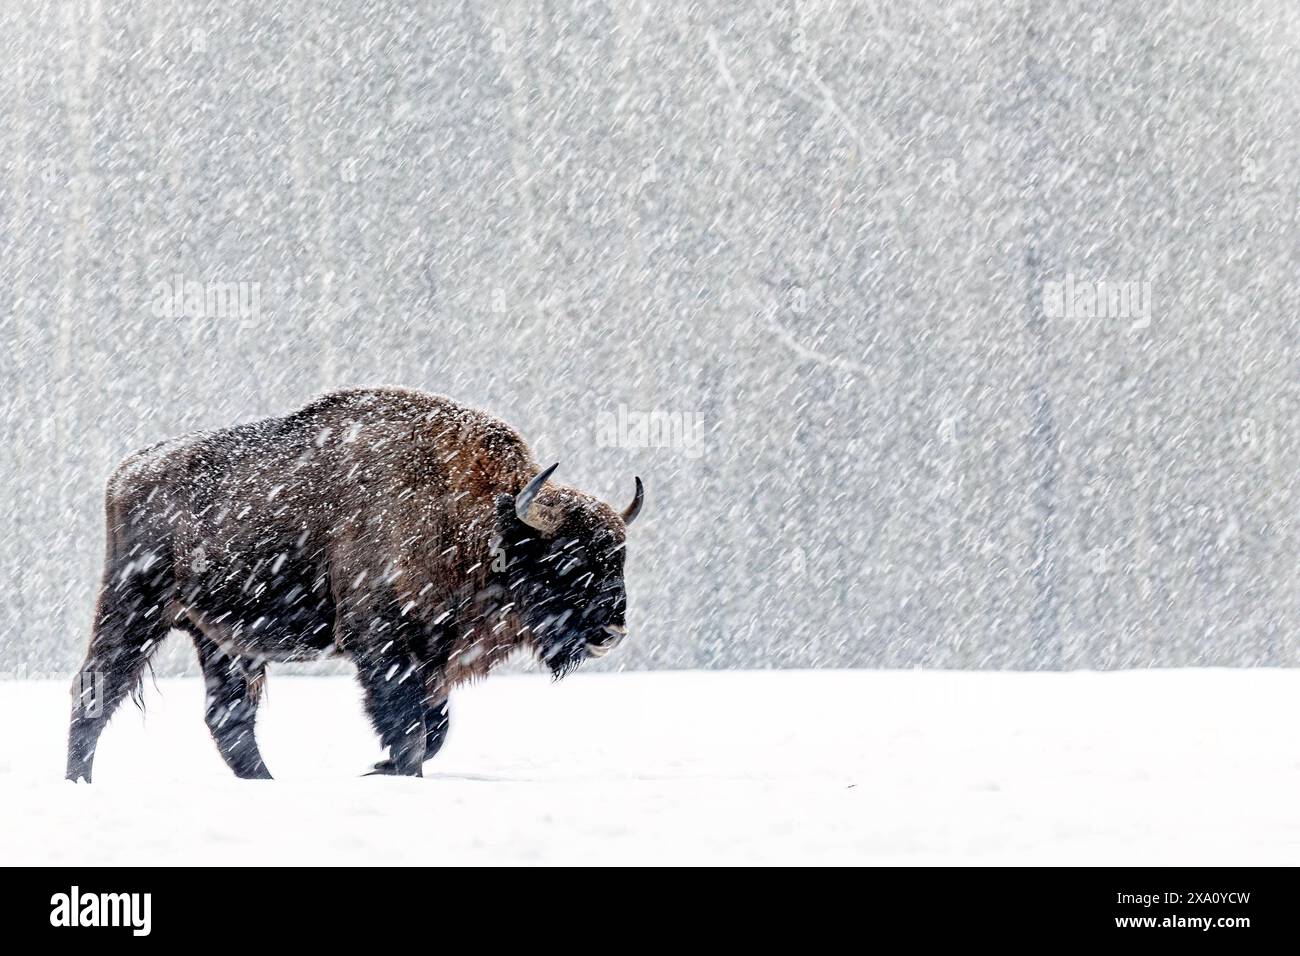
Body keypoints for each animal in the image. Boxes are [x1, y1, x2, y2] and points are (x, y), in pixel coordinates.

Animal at [66, 386, 642, 780]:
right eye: (567, 559)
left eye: (618, 558)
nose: (611, 630)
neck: (473, 519)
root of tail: (128, 471)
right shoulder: (383, 644)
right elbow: (408, 727)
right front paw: (392, 769)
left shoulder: (434, 658)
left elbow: (434, 727)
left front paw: (381, 767)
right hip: (134, 609)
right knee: (96, 689)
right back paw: (79, 781)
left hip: (224, 639)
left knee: (228, 718)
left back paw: (268, 782)